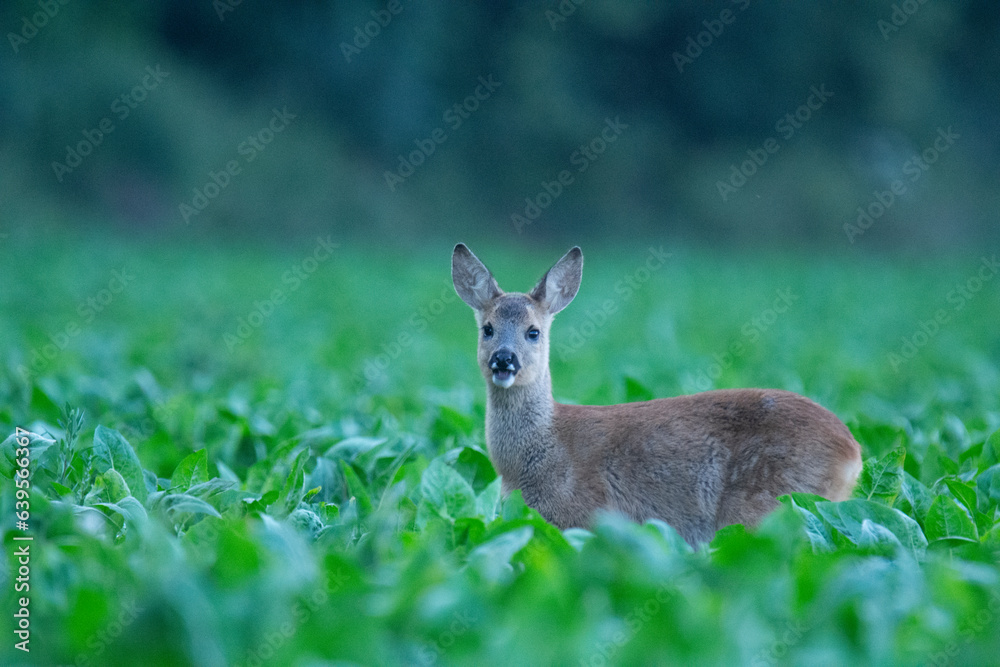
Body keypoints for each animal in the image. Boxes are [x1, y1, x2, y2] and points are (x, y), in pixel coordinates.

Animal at [452, 245, 860, 548]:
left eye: (533, 331)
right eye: (487, 328)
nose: (504, 359)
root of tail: (853, 451)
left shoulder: (579, 520)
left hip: (772, 505)